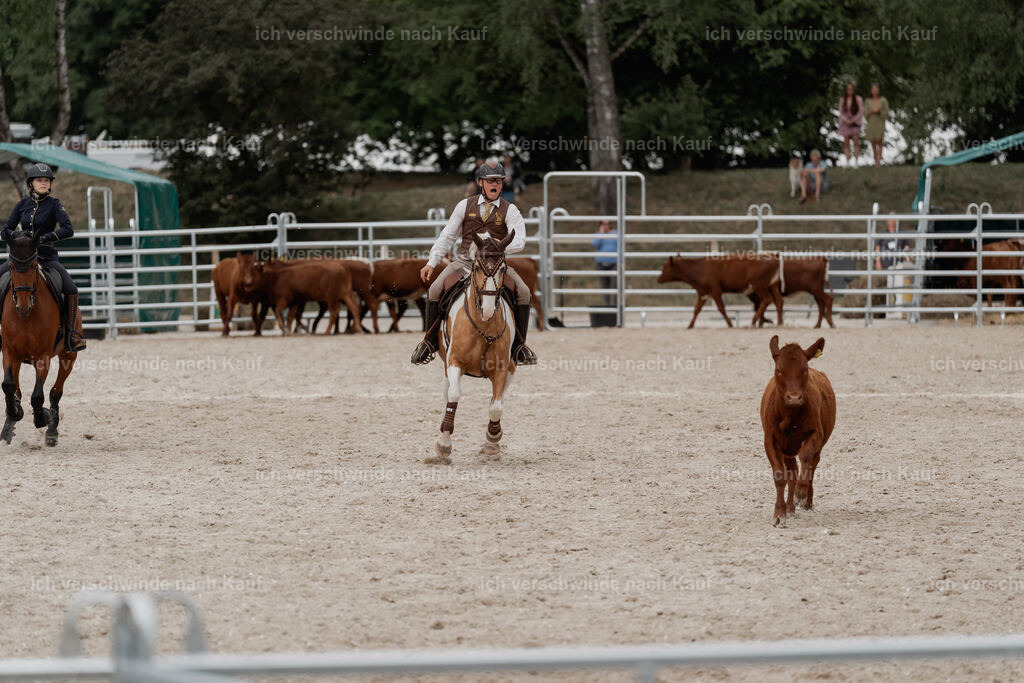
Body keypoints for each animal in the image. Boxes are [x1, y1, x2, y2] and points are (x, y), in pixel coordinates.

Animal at [1, 233, 76, 446]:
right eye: (11, 266)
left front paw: (43, 417)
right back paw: (9, 425)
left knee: (55, 392)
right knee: (15, 387)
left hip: (69, 355)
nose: (23, 306)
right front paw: (14, 413)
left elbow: (37, 396)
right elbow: (8, 386)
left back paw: (51, 431)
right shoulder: (9, 351)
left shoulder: (43, 356)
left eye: (34, 265)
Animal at [430, 232, 517, 464]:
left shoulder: (501, 369)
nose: (487, 310)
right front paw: (444, 444)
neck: (483, 326)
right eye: (478, 267)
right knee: (447, 391)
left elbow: (496, 407)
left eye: (503, 268)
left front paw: (492, 440)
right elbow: (453, 396)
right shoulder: (454, 363)